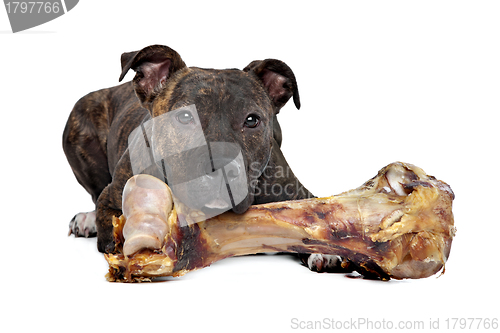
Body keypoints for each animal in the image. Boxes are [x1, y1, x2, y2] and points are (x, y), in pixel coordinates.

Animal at [60, 44, 338, 272]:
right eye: (185, 117)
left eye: (252, 120)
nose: (223, 168)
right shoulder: (111, 200)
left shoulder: (298, 194)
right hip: (79, 117)